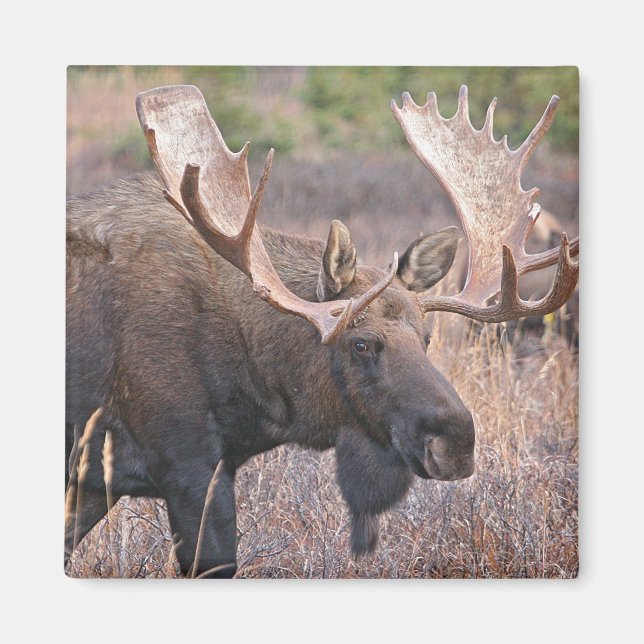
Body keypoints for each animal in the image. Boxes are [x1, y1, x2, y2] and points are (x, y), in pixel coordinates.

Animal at [65, 84, 578, 578]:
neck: (253, 392)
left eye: (427, 338)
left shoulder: (93, 480)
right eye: (361, 343)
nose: (456, 442)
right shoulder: (188, 466)